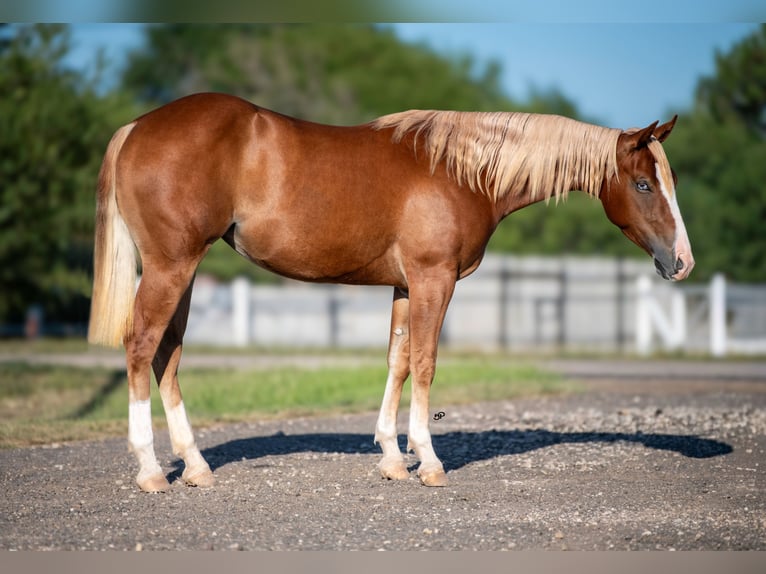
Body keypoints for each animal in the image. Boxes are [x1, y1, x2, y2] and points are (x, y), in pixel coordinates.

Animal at [87, 92, 694, 492]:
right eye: (644, 184)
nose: (682, 262)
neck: (462, 171)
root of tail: (135, 127)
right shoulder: (433, 279)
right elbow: (425, 363)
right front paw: (428, 461)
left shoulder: (405, 285)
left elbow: (398, 361)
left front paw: (392, 458)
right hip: (171, 267)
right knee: (141, 347)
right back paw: (150, 470)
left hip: (183, 270)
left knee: (167, 355)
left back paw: (195, 466)